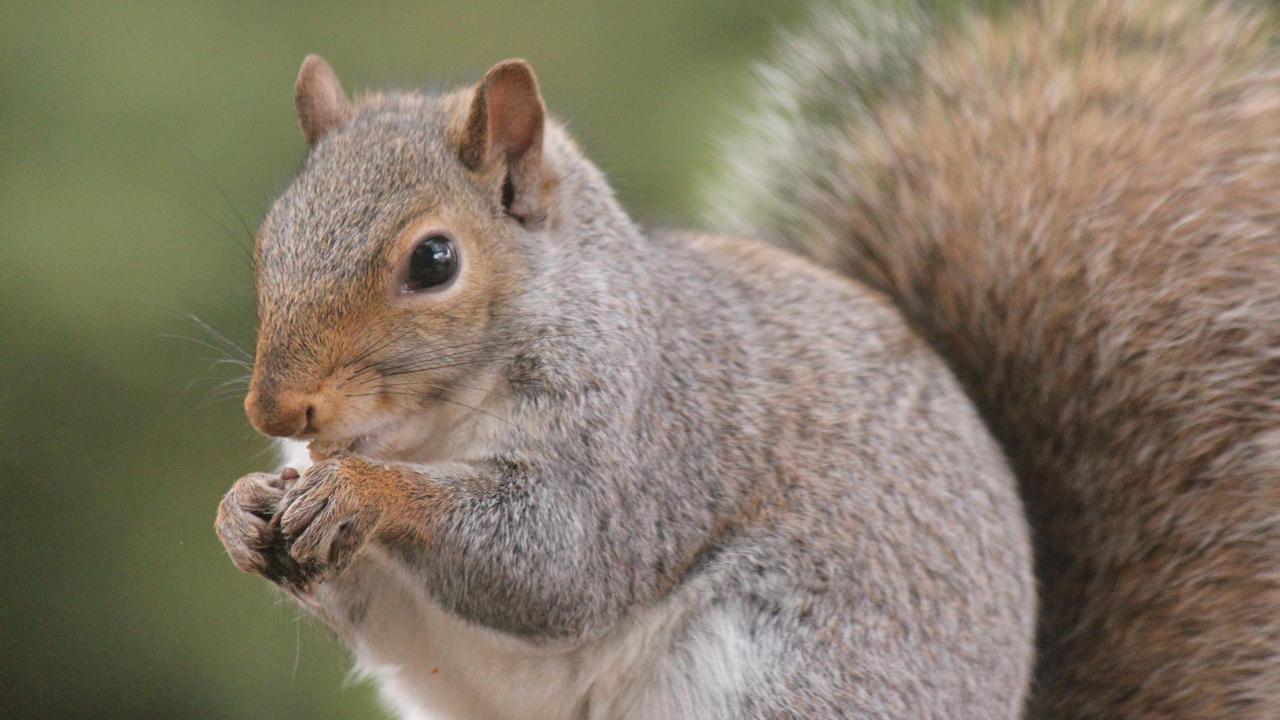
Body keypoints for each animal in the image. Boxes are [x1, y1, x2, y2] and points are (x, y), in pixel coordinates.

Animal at [213, 0, 1280, 718]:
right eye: (269, 237)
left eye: (434, 261)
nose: (275, 412)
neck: (427, 427)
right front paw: (242, 511)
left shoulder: (648, 439)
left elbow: (558, 561)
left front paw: (367, 494)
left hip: (792, 675)